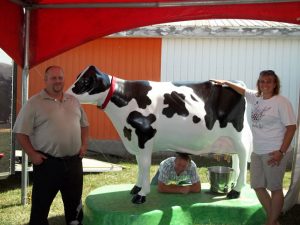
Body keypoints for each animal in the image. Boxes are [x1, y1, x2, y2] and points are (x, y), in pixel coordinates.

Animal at [67, 65, 252, 204]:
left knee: (243, 158)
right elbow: (139, 164)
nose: (66, 95)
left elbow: (144, 164)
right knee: (236, 158)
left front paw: (142, 194)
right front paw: (136, 187)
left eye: (85, 80)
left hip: (239, 135)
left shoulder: (144, 135)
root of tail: (237, 84)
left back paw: (236, 191)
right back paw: (234, 185)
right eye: (78, 76)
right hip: (229, 139)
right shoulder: (134, 139)